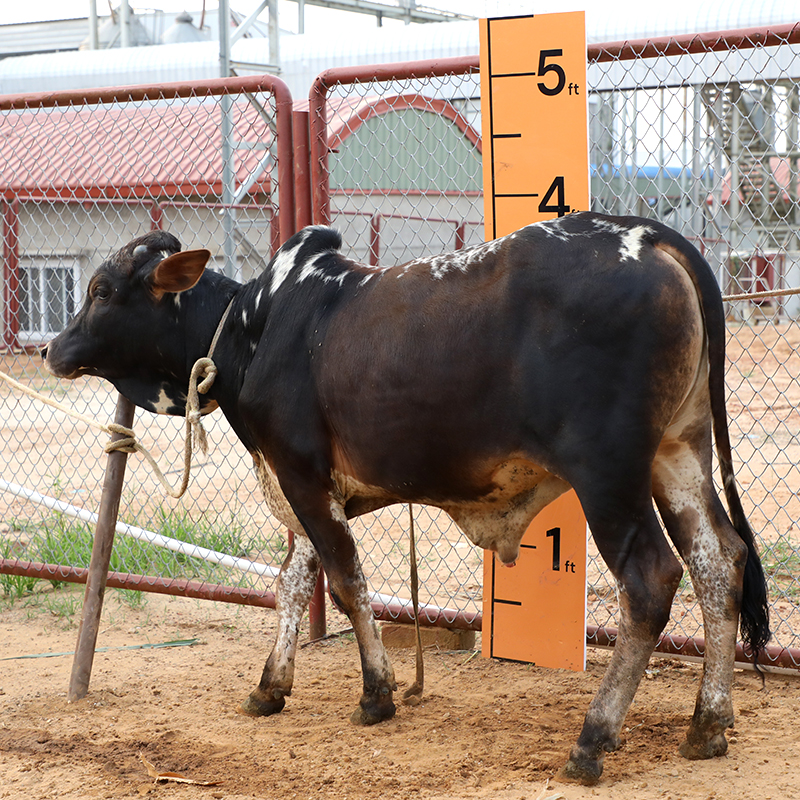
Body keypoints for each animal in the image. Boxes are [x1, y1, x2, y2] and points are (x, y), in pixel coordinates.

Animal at [43, 212, 770, 785]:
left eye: (101, 290)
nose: (51, 348)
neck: (252, 328)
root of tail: (652, 237)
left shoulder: (301, 475)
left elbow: (345, 582)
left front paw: (376, 693)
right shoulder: (311, 491)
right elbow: (293, 584)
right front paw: (271, 685)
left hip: (608, 473)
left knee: (652, 580)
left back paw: (593, 738)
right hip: (678, 453)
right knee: (719, 561)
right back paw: (708, 722)